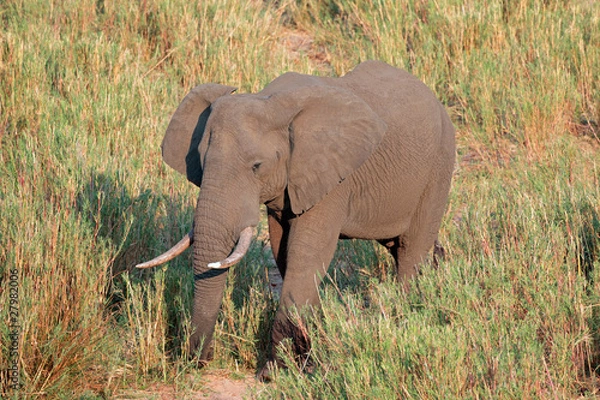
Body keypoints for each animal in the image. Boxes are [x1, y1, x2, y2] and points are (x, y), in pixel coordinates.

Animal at [137, 61, 454, 380]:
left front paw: (274, 372)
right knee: (400, 247)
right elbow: (283, 251)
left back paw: (408, 318)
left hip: (439, 167)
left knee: (411, 251)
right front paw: (305, 356)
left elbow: (306, 256)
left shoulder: (330, 175)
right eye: (201, 163)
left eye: (257, 166)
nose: (200, 361)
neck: (271, 102)